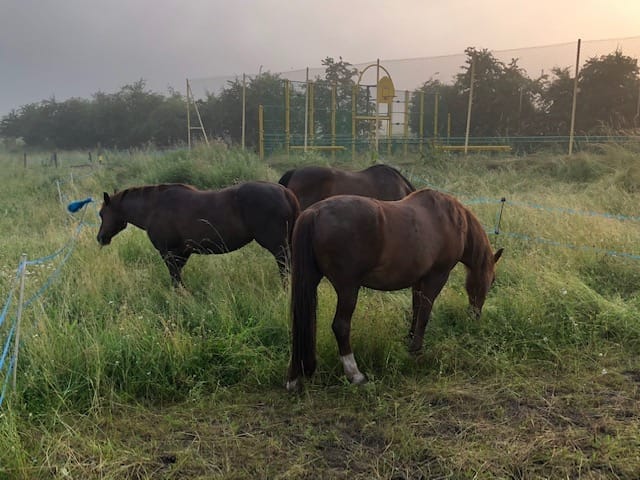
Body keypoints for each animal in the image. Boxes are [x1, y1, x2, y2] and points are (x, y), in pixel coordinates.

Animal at [97, 182, 300, 287]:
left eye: (101, 214)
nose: (100, 238)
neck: (153, 207)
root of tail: (284, 191)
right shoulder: (182, 253)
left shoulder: (168, 252)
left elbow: (175, 278)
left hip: (278, 247)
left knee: (285, 267)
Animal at [286, 188, 503, 391]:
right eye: (492, 280)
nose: (475, 316)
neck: (455, 221)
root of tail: (314, 213)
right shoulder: (436, 276)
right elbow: (425, 314)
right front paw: (416, 350)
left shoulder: (418, 279)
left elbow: (416, 310)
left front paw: (410, 340)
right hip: (348, 289)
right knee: (341, 326)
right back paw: (356, 375)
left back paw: (295, 377)